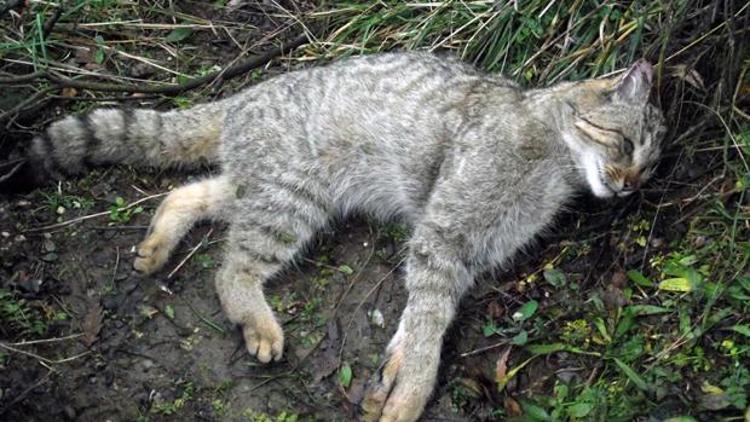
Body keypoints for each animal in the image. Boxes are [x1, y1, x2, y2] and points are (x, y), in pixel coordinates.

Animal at [26, 53, 668, 422]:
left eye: (650, 165)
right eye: (626, 144)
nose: (631, 186)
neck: (553, 158)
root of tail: (240, 97)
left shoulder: (464, 253)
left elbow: (417, 321)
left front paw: (394, 373)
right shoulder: (444, 234)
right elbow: (429, 326)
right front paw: (411, 396)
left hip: (267, 188)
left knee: (190, 195)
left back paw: (158, 244)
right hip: (290, 199)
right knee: (231, 267)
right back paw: (258, 323)